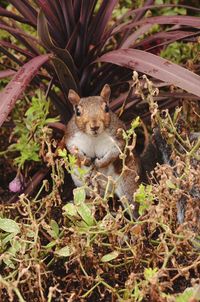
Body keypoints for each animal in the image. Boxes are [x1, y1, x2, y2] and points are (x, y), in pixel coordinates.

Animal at [65, 85, 140, 217]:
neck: (93, 138)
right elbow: (73, 150)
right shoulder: (71, 138)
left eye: (106, 108)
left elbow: (114, 154)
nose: (94, 126)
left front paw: (100, 163)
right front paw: (86, 160)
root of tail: (109, 190)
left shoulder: (117, 140)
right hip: (81, 183)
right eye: (77, 112)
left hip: (128, 185)